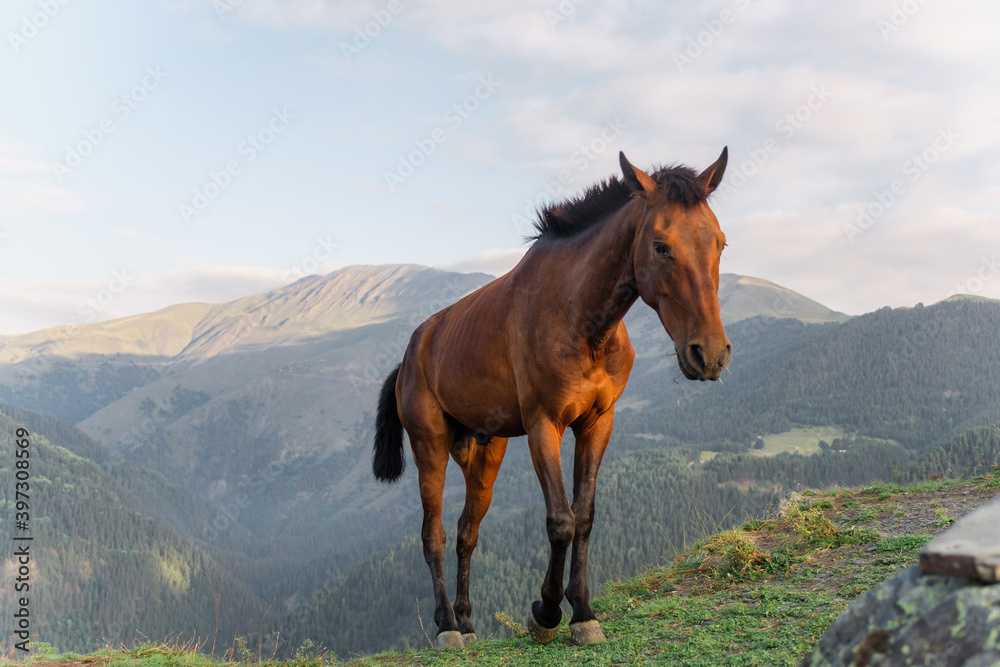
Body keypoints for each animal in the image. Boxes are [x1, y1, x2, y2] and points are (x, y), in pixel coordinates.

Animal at [372, 149, 732, 648]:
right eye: (660, 246)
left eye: (720, 243)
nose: (710, 354)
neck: (579, 318)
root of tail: (410, 354)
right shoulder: (544, 425)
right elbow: (560, 520)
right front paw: (546, 612)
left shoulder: (598, 423)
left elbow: (584, 516)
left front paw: (582, 611)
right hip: (431, 447)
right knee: (434, 535)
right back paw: (447, 626)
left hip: (484, 453)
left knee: (467, 533)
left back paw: (466, 620)